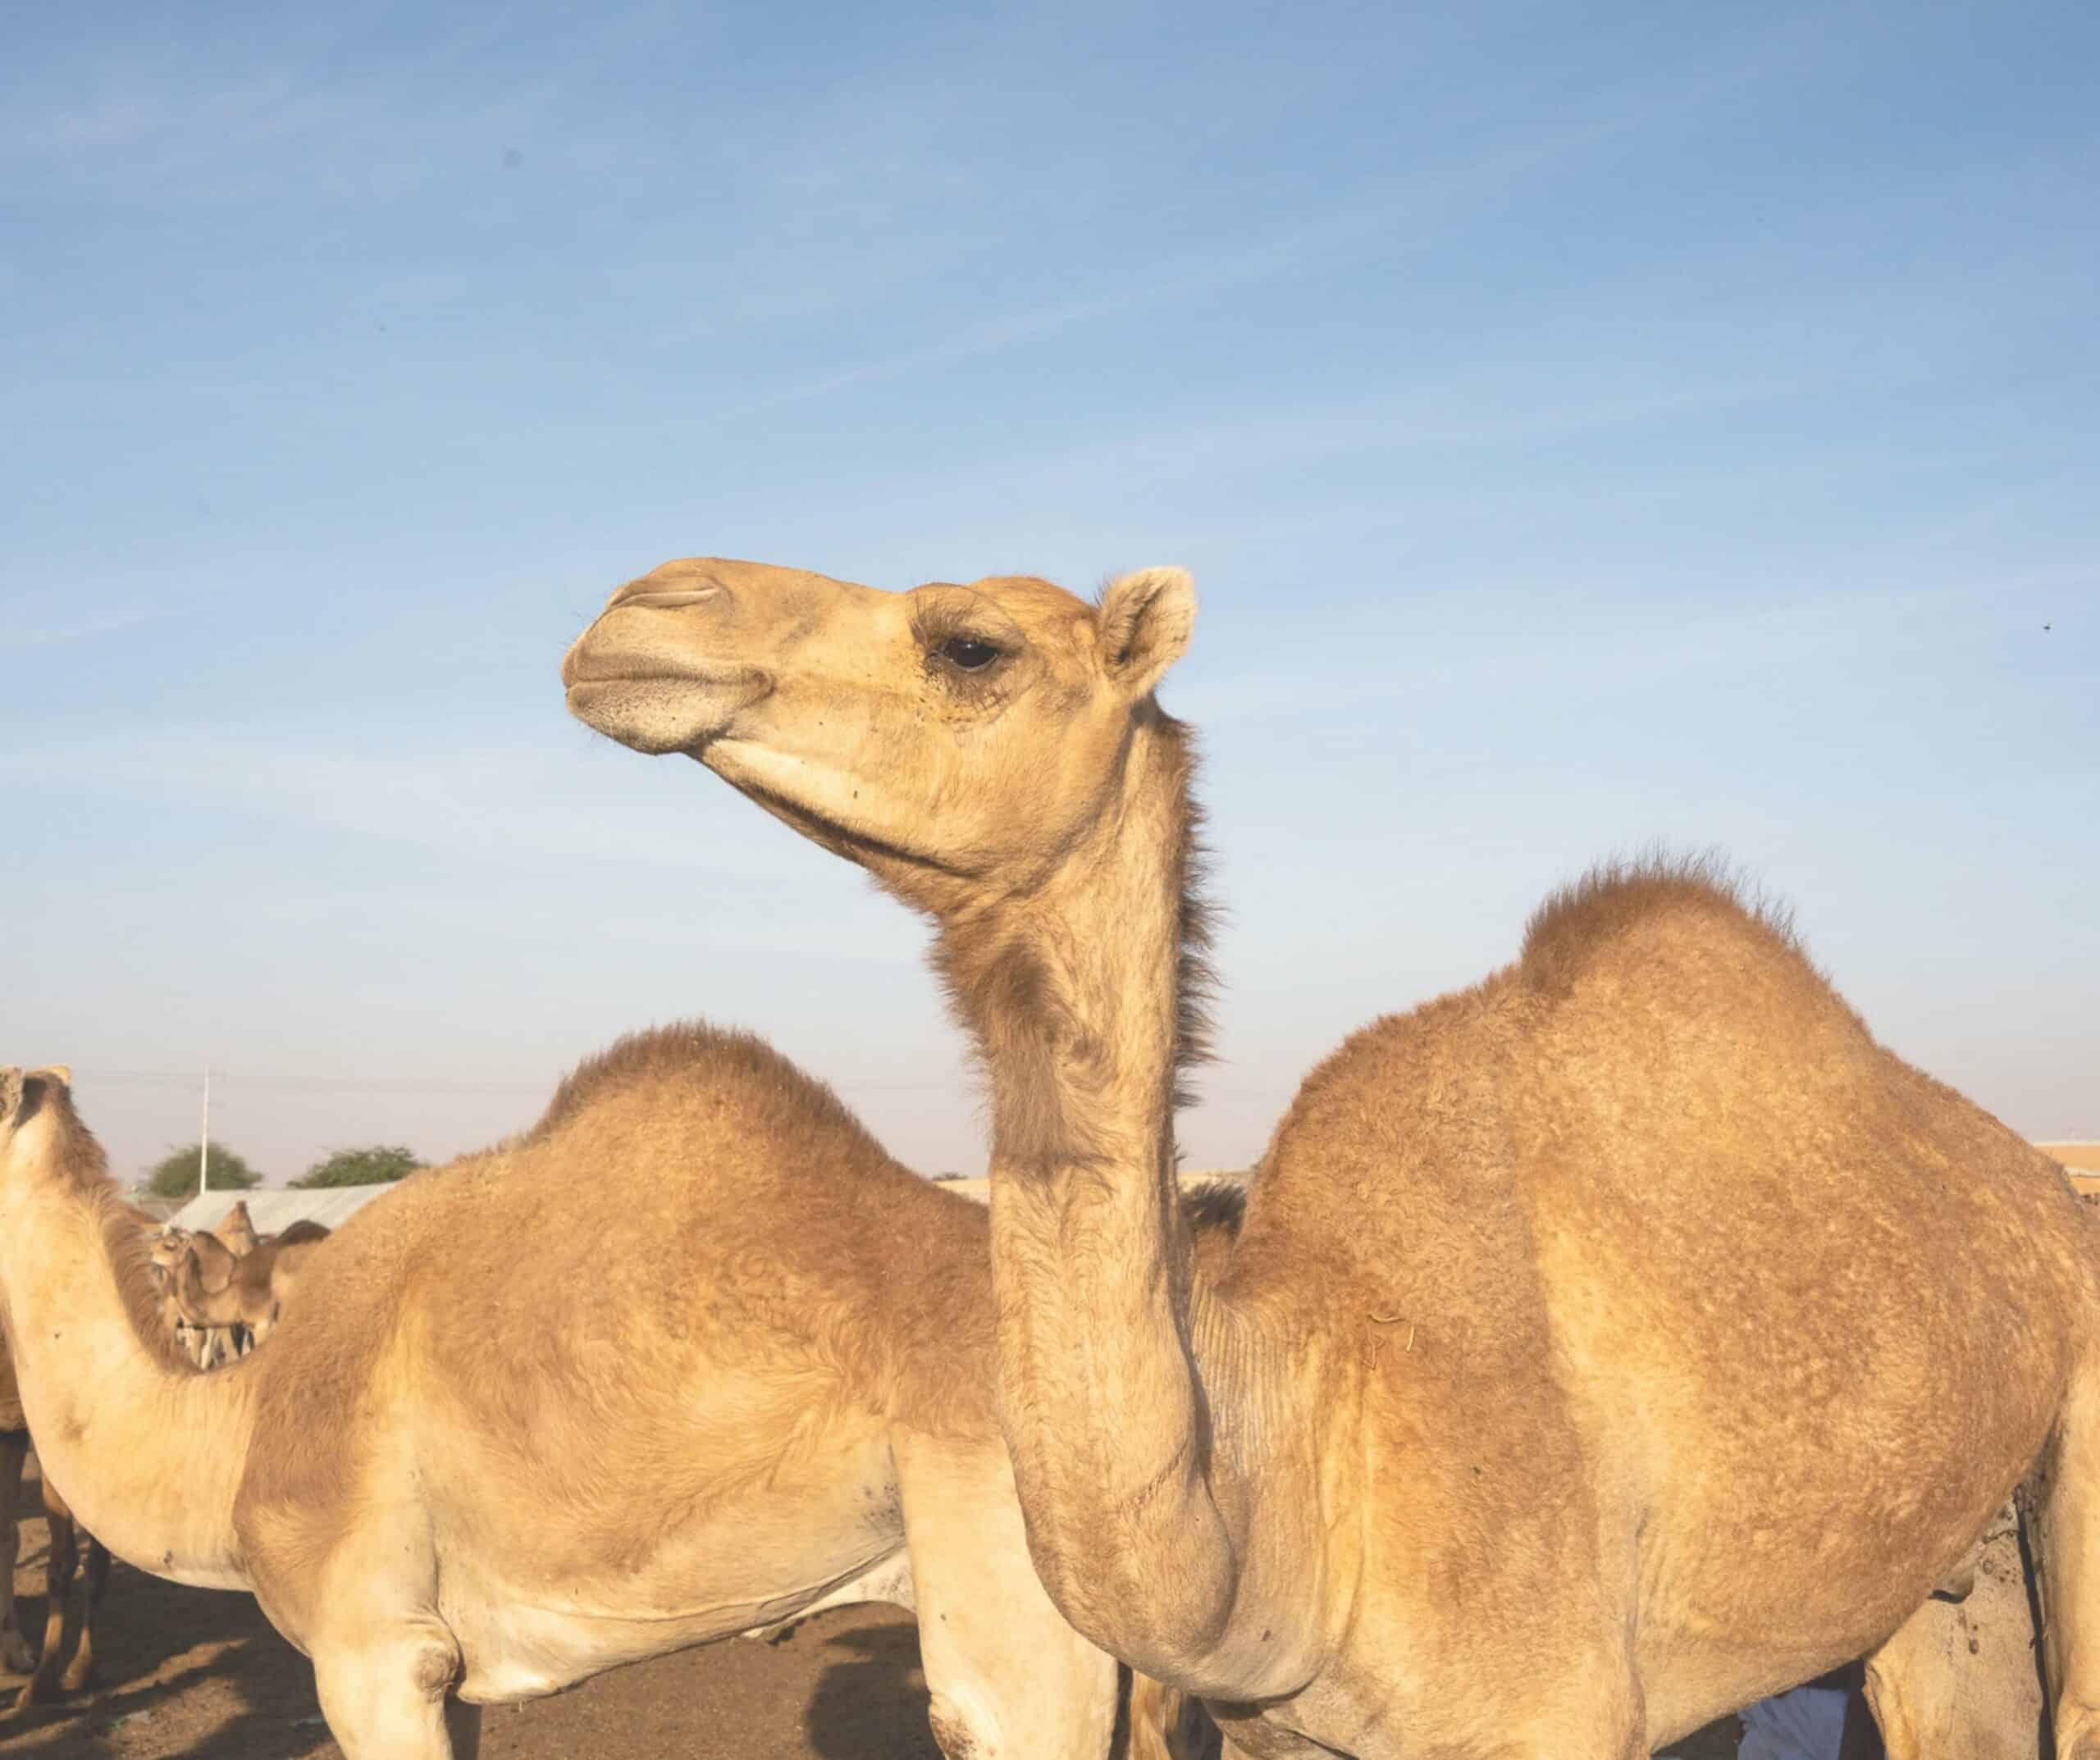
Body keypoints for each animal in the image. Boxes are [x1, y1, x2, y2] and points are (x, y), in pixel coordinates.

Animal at [563, 555, 2100, 1760]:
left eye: (971, 644)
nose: (643, 607)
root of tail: (2037, 1188)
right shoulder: (1275, 1735)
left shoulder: (1559, 1713)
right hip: (1931, 1580)